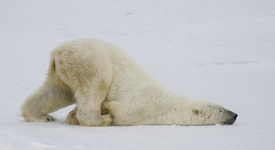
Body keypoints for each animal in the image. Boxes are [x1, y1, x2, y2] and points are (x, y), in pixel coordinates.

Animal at [21, 38, 237, 126]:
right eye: (220, 109)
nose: (235, 114)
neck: (170, 105)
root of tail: (57, 52)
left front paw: (71, 116)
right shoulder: (144, 106)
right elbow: (119, 112)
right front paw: (101, 112)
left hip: (63, 71)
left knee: (55, 92)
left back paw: (42, 117)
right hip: (89, 60)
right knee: (95, 84)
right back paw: (99, 120)